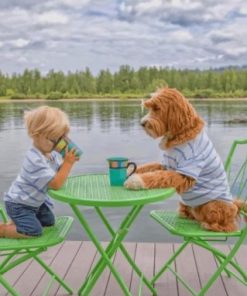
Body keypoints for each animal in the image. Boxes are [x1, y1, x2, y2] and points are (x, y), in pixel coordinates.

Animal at [124, 86, 244, 232]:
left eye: (157, 108)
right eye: (150, 107)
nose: (142, 123)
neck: (181, 134)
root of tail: (234, 205)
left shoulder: (184, 172)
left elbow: (159, 176)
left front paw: (135, 181)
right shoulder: (166, 164)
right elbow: (150, 167)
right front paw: (129, 171)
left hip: (213, 205)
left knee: (227, 226)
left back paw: (209, 225)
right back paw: (186, 214)